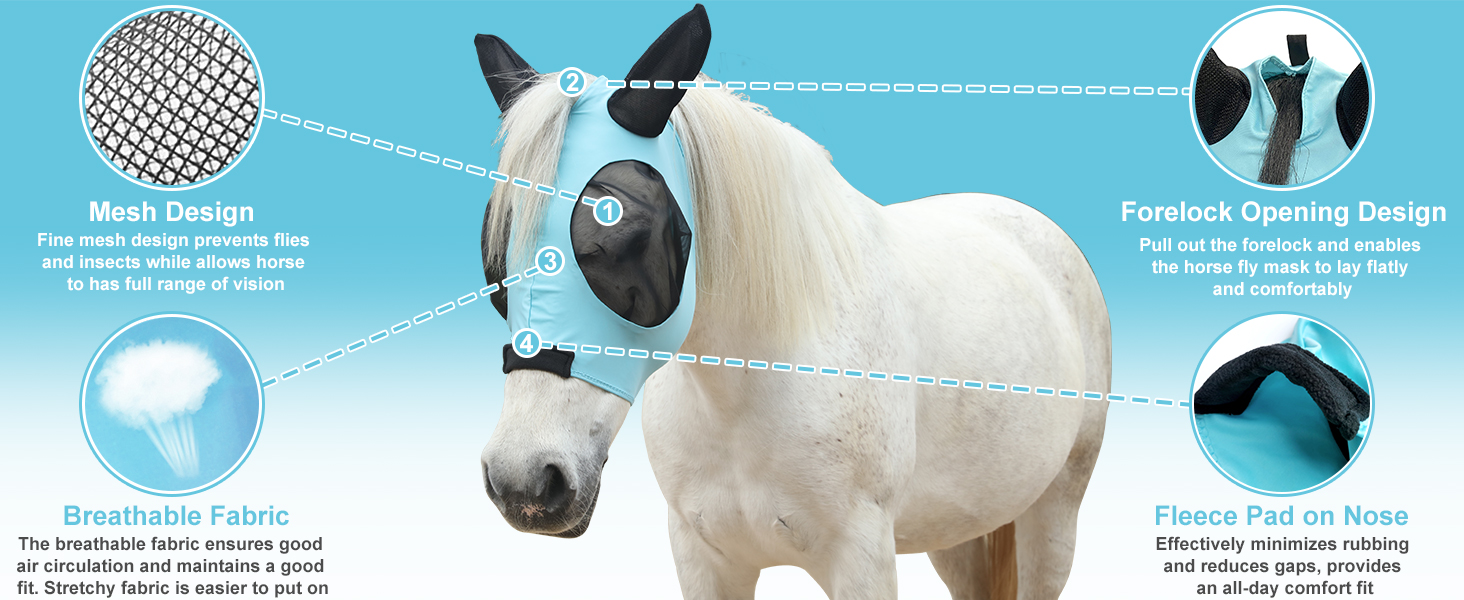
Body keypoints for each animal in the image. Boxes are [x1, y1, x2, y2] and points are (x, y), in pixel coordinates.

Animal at [474, 5, 1110, 599]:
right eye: (496, 252)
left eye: (621, 231)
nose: (524, 482)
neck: (746, 393)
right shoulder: (704, 558)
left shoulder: (861, 559)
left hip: (1053, 514)